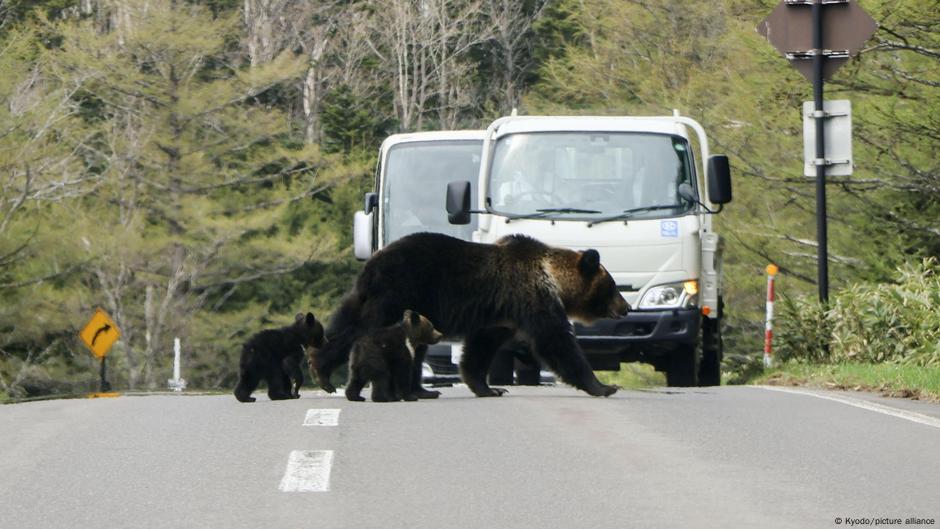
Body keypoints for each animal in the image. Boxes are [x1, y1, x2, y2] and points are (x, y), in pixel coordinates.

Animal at [310, 232, 629, 398]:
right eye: (612, 286)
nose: (625, 307)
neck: (552, 278)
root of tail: (372, 262)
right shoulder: (531, 298)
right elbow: (556, 341)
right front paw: (604, 386)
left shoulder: (501, 317)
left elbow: (480, 348)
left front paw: (488, 388)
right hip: (399, 293)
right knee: (365, 329)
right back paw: (326, 374)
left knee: (355, 325)